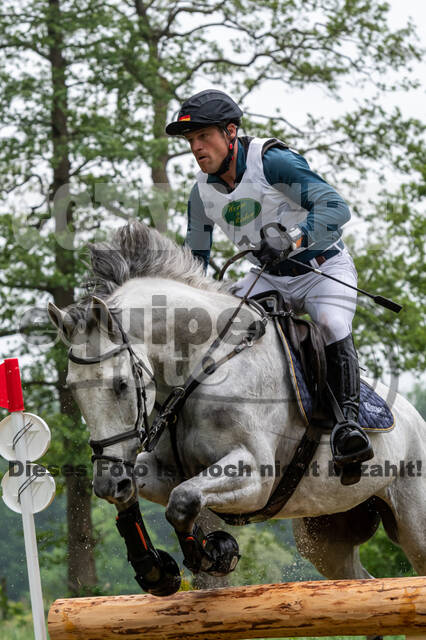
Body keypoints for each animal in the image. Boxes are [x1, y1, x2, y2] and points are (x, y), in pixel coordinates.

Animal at [48, 220, 426, 613]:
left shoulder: (255, 476)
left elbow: (182, 502)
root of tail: (415, 418)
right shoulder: (165, 470)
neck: (203, 364)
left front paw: (214, 554)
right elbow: (155, 496)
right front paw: (155, 570)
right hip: (325, 536)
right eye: (72, 389)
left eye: (121, 384)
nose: (107, 483)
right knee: (362, 582)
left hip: (415, 523)